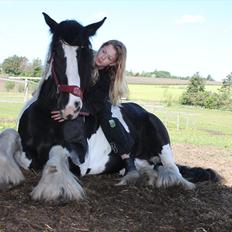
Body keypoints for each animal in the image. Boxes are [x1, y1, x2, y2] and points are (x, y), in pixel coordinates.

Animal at [0, 13, 221, 201]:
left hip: (162, 139)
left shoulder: (80, 160)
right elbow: (9, 135)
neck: (46, 120)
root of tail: (144, 111)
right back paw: (141, 174)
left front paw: (54, 188)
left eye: (86, 53)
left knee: (173, 169)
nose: (71, 107)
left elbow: (55, 156)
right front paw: (8, 172)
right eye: (56, 51)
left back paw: (169, 181)